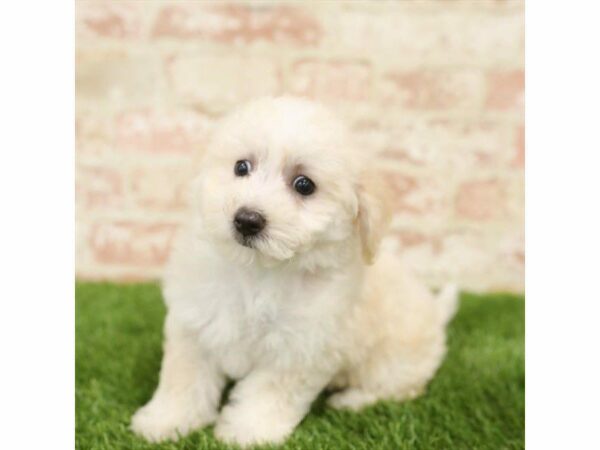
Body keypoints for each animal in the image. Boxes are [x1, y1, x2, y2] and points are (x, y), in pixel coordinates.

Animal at [131, 96, 458, 446]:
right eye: (241, 167)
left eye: (304, 185)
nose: (246, 219)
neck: (258, 272)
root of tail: (437, 313)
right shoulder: (195, 325)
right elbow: (184, 379)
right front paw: (167, 421)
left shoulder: (300, 348)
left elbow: (268, 393)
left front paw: (248, 432)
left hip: (395, 360)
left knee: (397, 388)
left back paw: (350, 400)